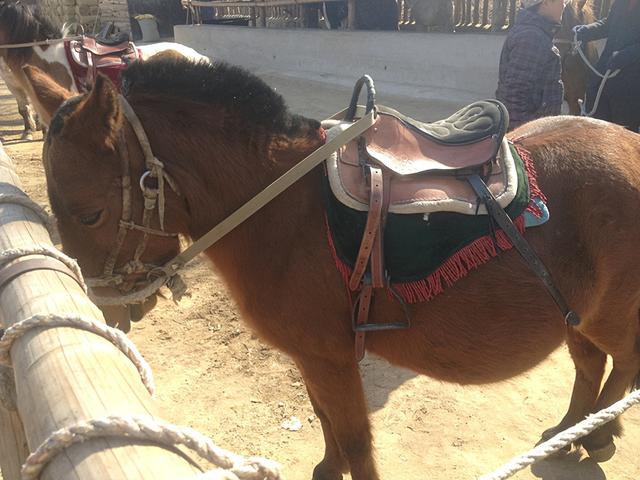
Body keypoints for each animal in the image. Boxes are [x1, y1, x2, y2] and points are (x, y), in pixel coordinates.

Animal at [22, 58, 640, 478]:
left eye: (89, 212)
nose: (105, 307)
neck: (280, 209)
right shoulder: (310, 355)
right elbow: (325, 422)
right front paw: (326, 467)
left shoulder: (332, 358)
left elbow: (355, 439)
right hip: (573, 314)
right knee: (590, 365)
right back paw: (570, 430)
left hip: (610, 315)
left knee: (623, 366)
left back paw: (600, 432)